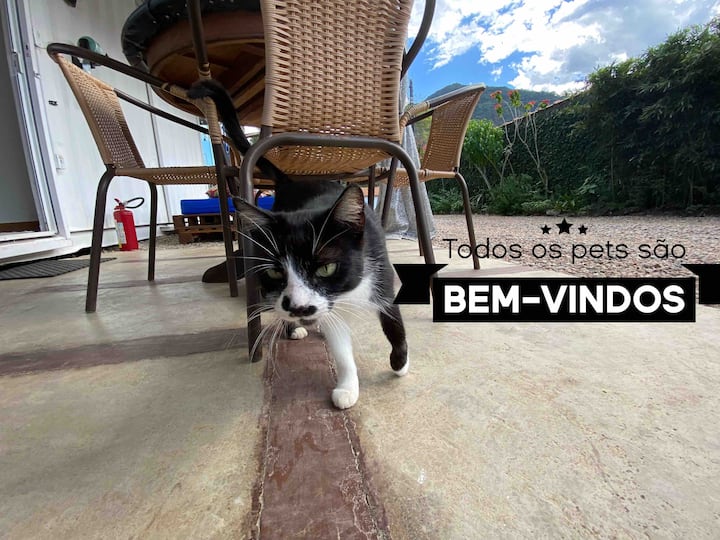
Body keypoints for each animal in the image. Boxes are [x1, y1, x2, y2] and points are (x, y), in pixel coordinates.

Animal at [189, 80, 409, 409]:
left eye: (326, 268)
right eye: (276, 273)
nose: (299, 308)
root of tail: (291, 182)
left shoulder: (380, 270)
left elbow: (393, 319)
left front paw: (400, 362)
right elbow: (340, 347)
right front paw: (347, 386)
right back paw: (297, 328)